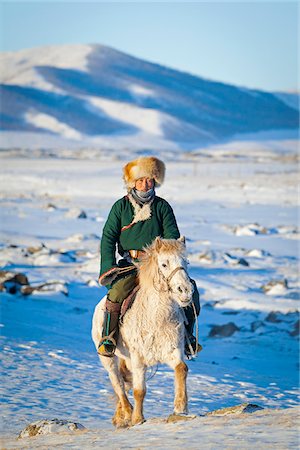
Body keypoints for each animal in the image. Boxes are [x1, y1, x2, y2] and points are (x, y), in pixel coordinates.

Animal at [92, 237, 195, 428]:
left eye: (186, 262)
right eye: (164, 264)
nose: (185, 290)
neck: (156, 318)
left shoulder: (172, 351)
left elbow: (181, 369)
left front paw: (180, 407)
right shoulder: (138, 358)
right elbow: (139, 391)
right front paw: (137, 419)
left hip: (127, 360)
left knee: (124, 382)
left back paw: (120, 416)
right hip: (109, 359)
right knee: (118, 384)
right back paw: (127, 413)